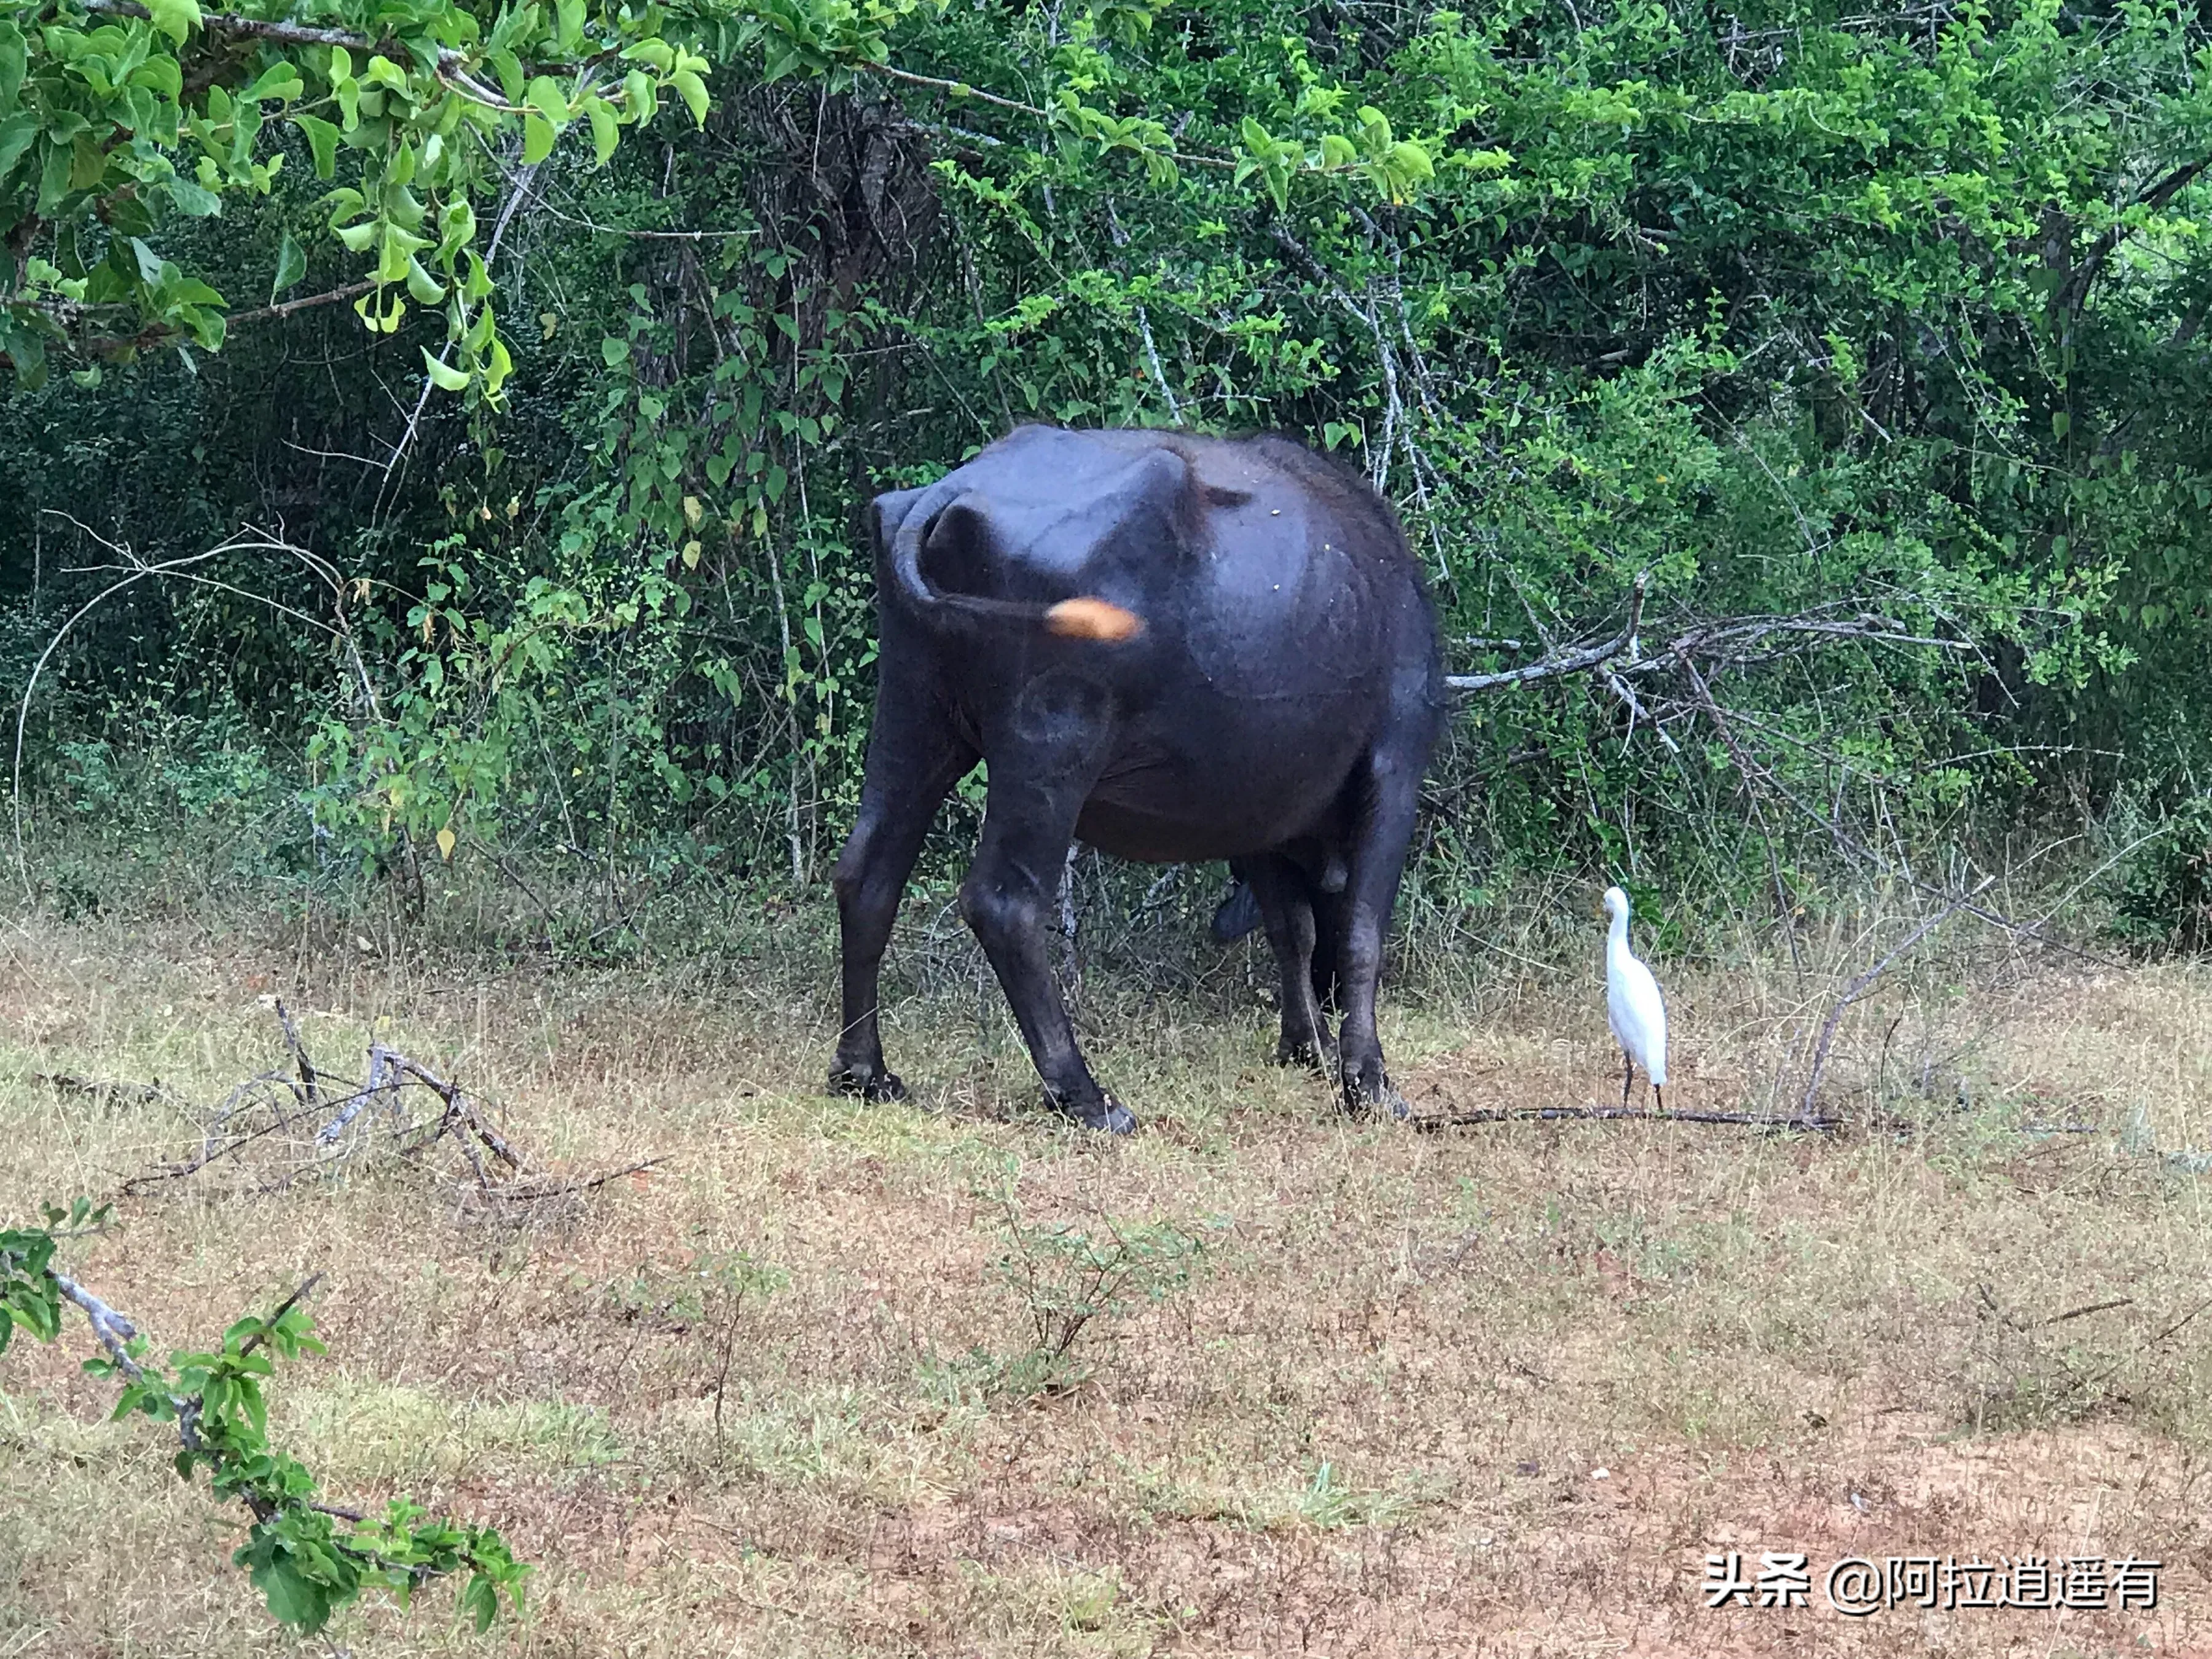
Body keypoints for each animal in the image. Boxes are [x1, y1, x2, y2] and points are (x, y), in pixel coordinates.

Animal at [827, 422, 1433, 1141]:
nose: (1327, 996)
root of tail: (946, 495)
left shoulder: (1260, 811)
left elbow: (1293, 929)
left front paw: (1305, 1045)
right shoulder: (1394, 767)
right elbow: (1360, 931)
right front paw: (1369, 1082)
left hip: (915, 711)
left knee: (868, 874)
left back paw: (864, 1072)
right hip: (1050, 749)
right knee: (1004, 903)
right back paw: (1085, 1096)